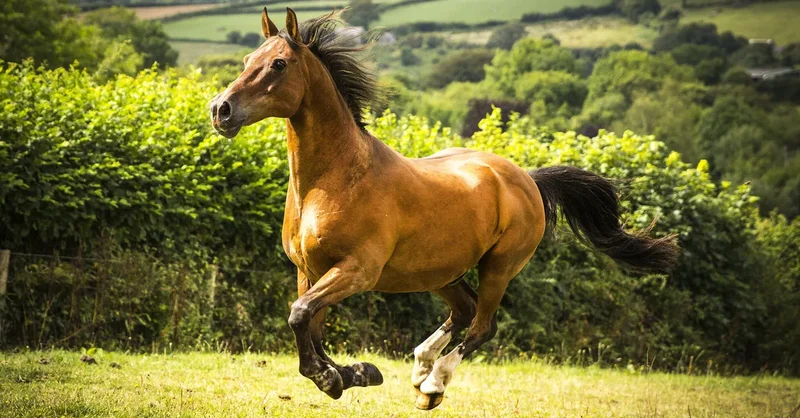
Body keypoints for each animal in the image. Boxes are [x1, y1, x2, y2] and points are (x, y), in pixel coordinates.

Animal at [209, 8, 679, 410]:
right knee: (464, 310)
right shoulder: (309, 270)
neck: (333, 181)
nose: (220, 109)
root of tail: (526, 178)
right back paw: (420, 366)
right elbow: (309, 325)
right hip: (440, 271)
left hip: (499, 267)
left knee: (482, 325)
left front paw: (338, 378)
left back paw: (433, 384)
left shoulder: (356, 271)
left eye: (279, 64)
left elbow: (300, 316)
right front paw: (355, 373)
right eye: (248, 59)